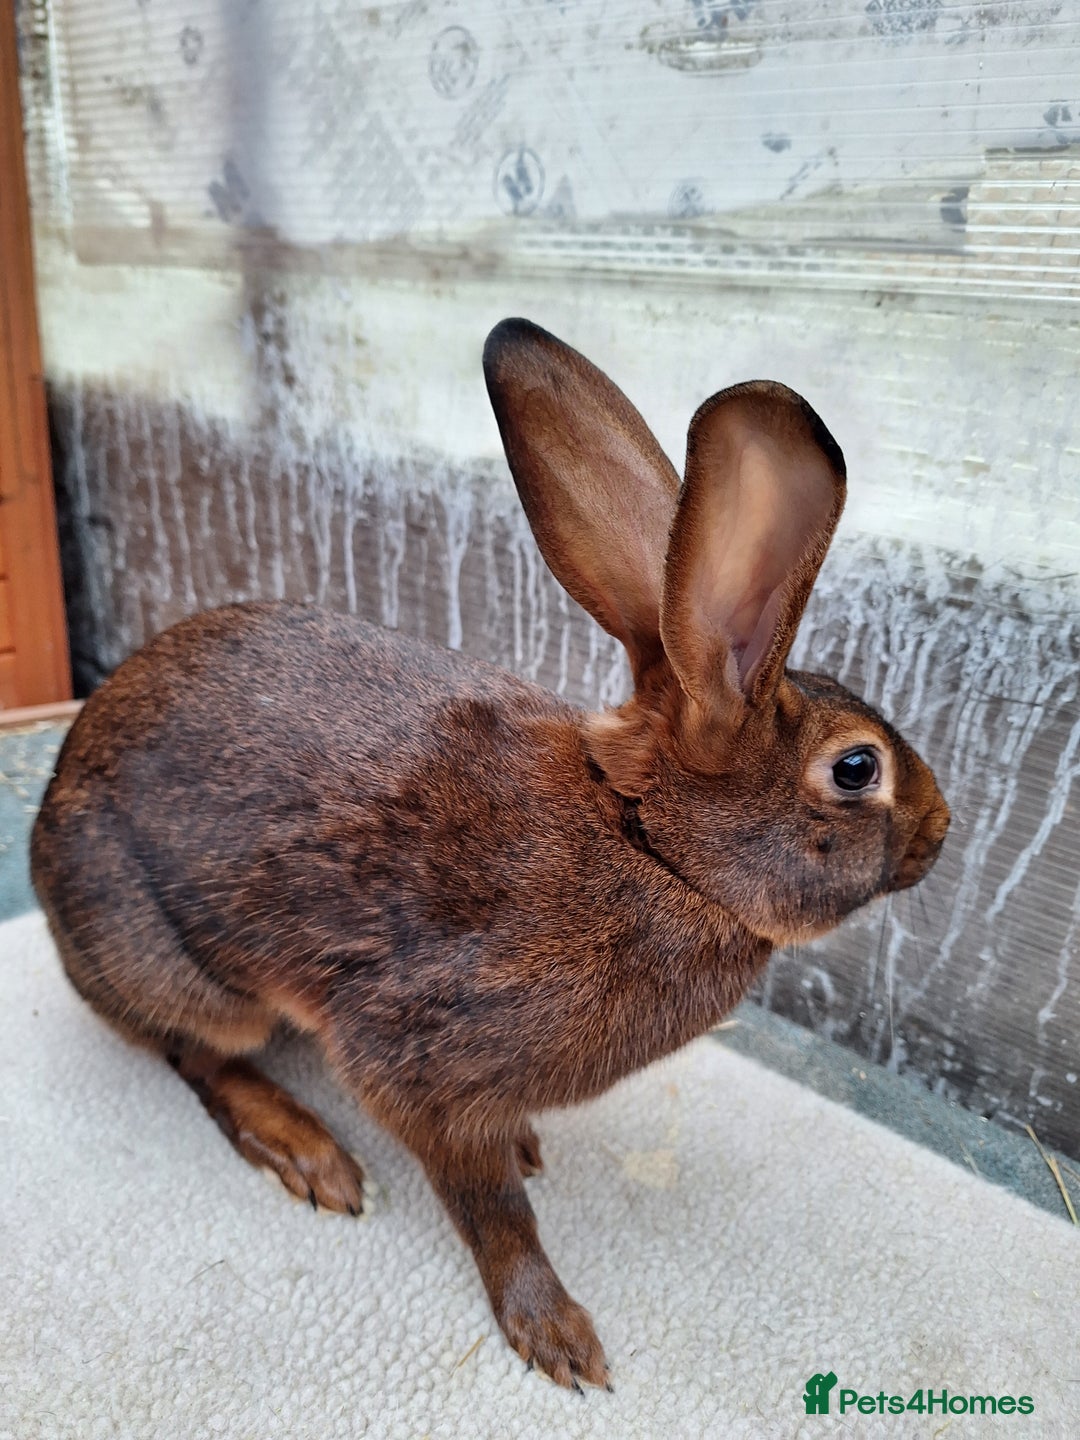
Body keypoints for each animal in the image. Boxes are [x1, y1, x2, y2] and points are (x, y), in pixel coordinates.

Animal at [31, 318, 949, 1391]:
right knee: (193, 1052)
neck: (650, 847)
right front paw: (557, 1335)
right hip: (173, 960)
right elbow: (494, 1216)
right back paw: (306, 1150)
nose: (941, 829)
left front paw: (528, 1150)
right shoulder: (423, 1065)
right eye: (857, 769)